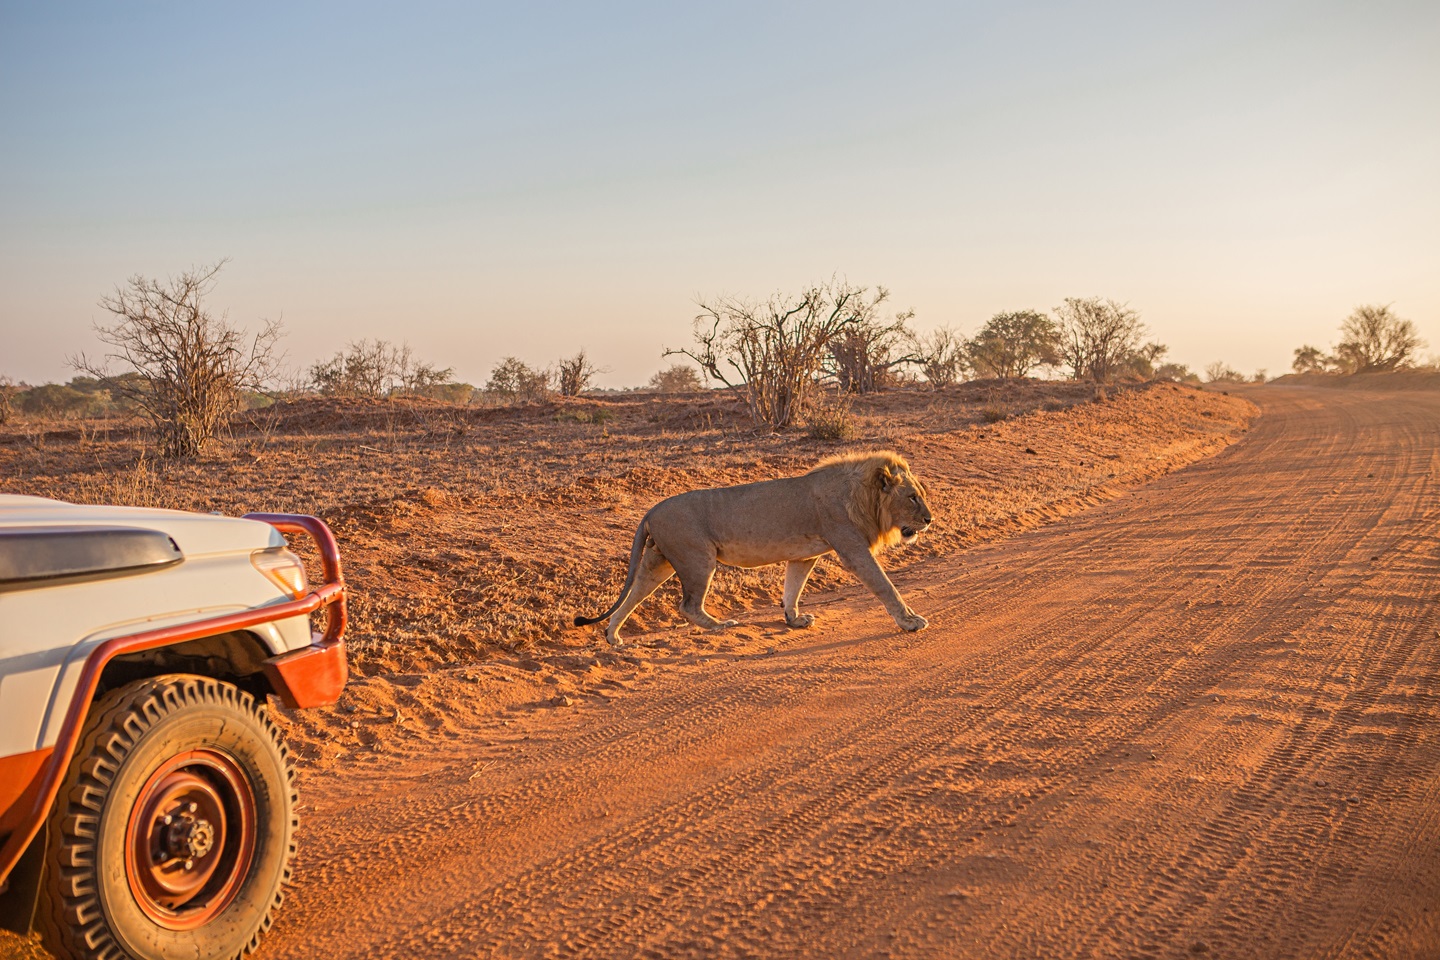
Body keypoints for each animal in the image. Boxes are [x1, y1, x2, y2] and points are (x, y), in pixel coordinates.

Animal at [574, 450, 934, 645]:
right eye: (912, 497)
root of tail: (651, 510)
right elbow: (885, 586)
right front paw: (910, 621)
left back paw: (613, 636)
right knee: (687, 605)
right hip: (697, 558)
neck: (862, 496)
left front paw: (794, 619)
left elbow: (792, 588)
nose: (929, 519)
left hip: (658, 561)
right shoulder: (853, 549)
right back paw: (721, 625)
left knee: (634, 594)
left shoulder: (805, 555)